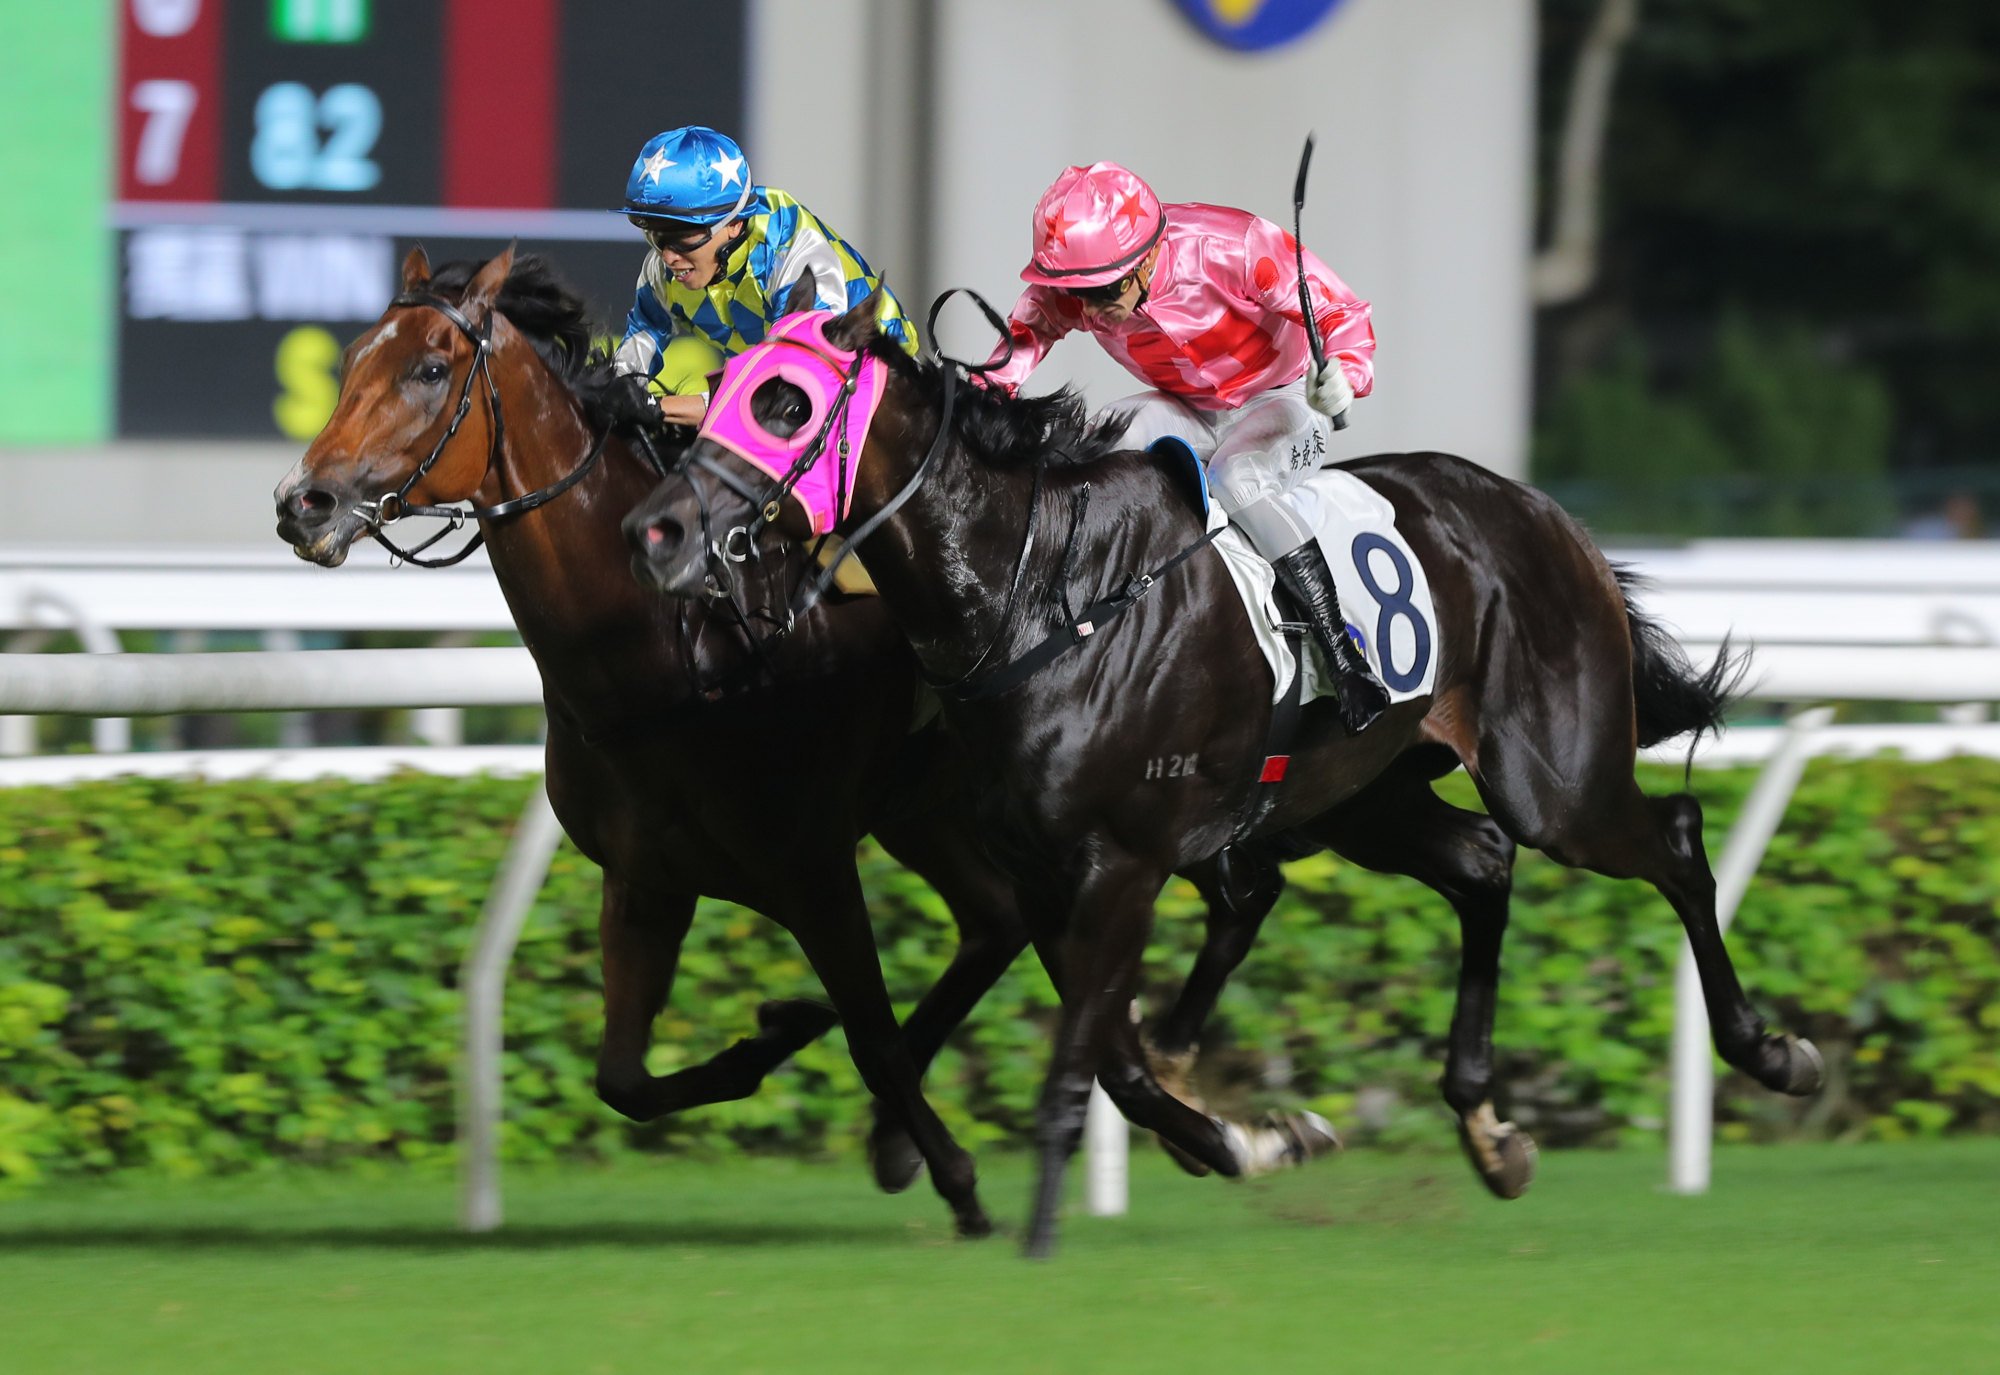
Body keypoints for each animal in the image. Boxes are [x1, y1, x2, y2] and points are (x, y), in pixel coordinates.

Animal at [274, 249, 1320, 1247]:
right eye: (353, 360)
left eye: (429, 367)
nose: (304, 502)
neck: (661, 652)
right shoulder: (646, 877)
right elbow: (624, 1078)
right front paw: (781, 1042)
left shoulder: (811, 865)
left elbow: (872, 1036)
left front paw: (958, 1176)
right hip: (928, 811)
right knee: (1007, 925)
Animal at [632, 289, 1824, 1255]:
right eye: (716, 388)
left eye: (783, 403)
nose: (660, 528)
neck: (1043, 597)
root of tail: (1546, 513)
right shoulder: (1049, 869)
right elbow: (1114, 1054)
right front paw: (1250, 1138)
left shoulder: (1122, 862)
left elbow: (1090, 1055)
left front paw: (1052, 1222)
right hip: (1366, 793)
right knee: (1481, 862)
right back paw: (1486, 1125)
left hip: (1554, 779)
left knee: (1670, 840)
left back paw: (1771, 1053)